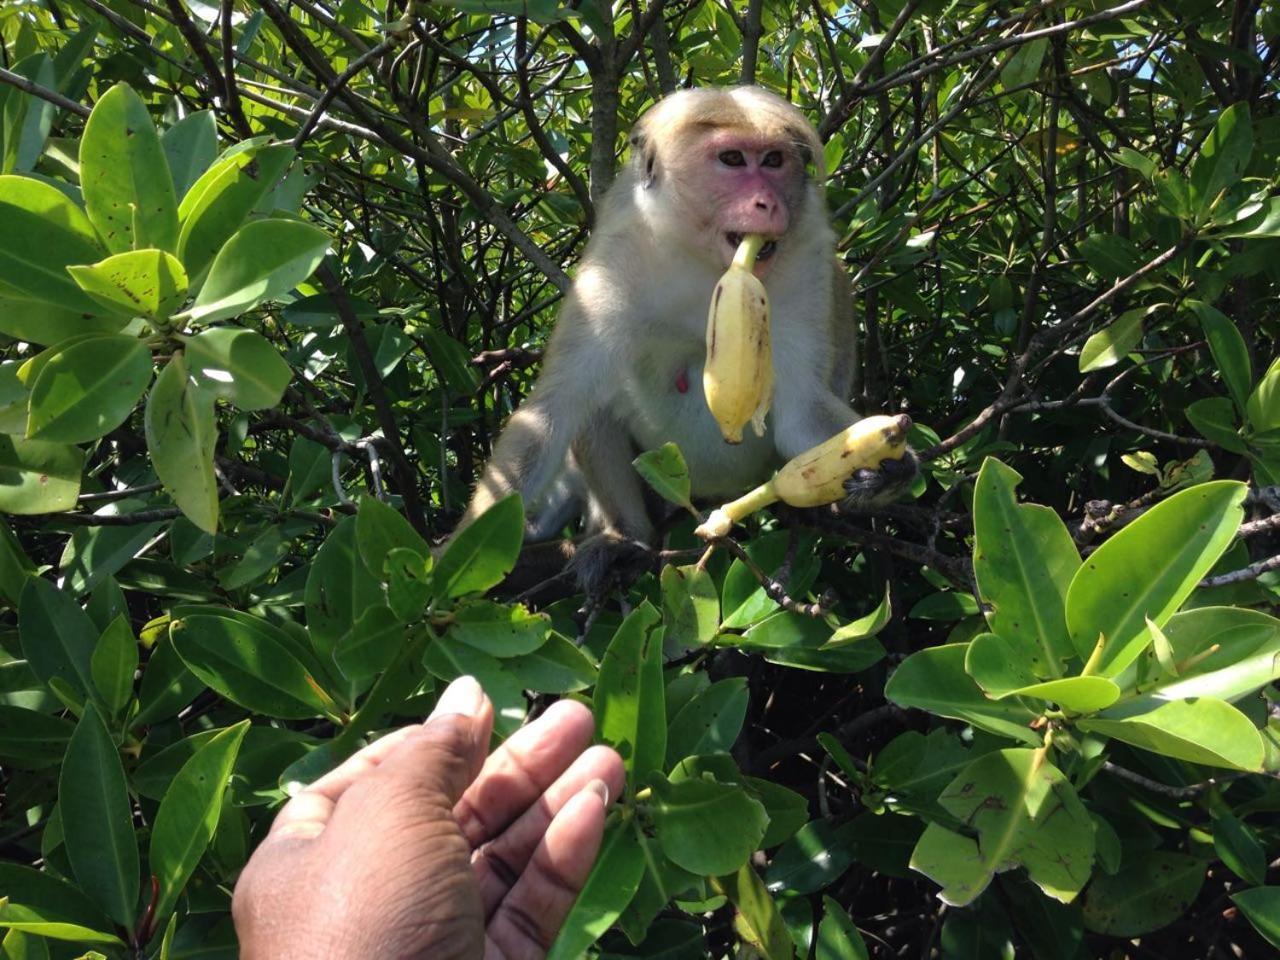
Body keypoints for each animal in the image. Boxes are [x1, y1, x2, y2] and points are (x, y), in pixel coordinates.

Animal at [455, 86, 916, 591]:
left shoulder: (809, 264)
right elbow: (554, 408)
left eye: (774, 160)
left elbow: (800, 412)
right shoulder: (612, 265)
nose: (768, 203)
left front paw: (890, 469)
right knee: (593, 401)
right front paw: (447, 560)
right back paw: (625, 536)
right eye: (732, 159)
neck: (707, 264)